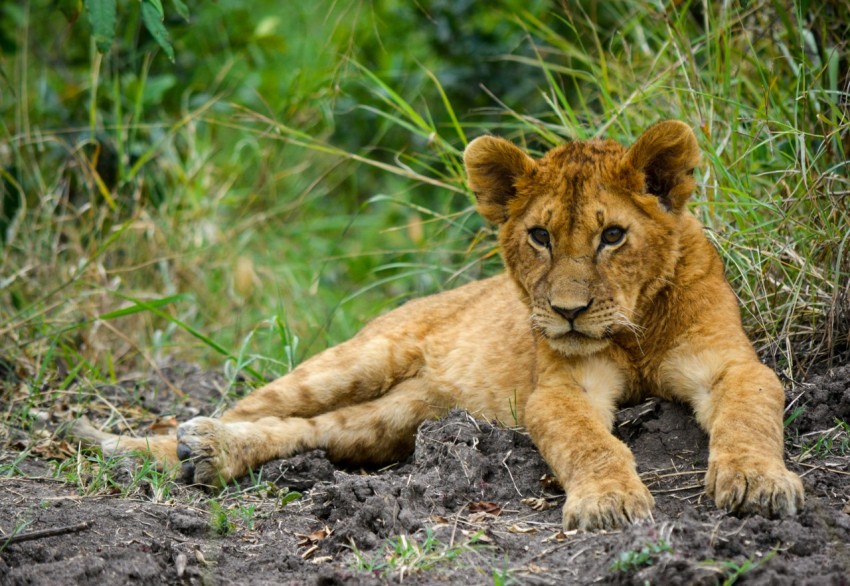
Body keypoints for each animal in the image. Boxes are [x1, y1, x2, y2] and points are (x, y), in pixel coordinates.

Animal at [71, 121, 804, 530]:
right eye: (540, 236)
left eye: (613, 236)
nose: (567, 312)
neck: (633, 330)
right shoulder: (559, 388)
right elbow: (589, 443)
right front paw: (609, 501)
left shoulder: (731, 363)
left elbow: (750, 413)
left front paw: (758, 484)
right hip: (356, 360)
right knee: (247, 407)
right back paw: (152, 447)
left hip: (392, 421)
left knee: (307, 432)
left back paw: (211, 455)